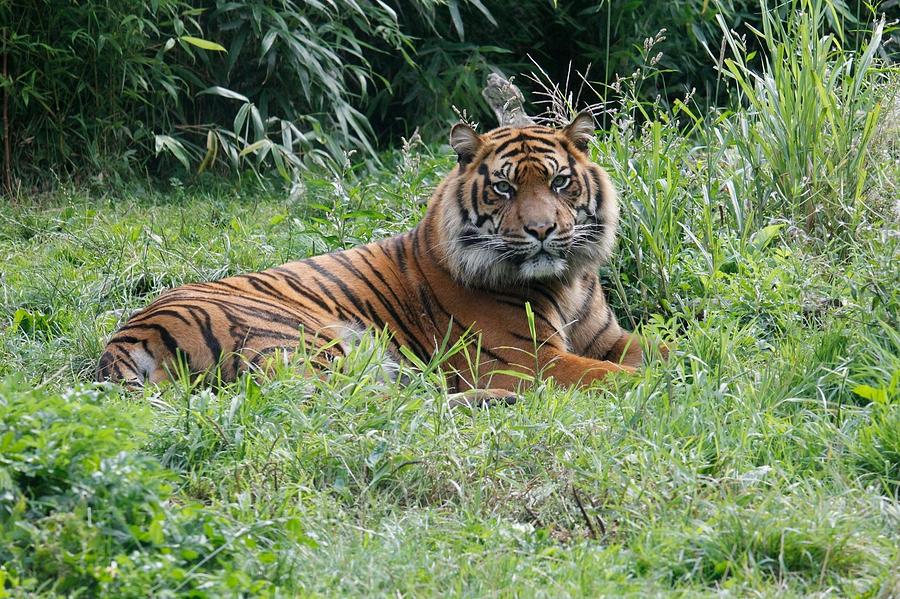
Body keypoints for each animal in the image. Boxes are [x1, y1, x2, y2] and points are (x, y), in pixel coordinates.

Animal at [96, 113, 660, 404]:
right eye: (503, 188)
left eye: (560, 182)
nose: (542, 231)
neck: (567, 281)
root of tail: (129, 334)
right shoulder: (528, 360)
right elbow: (611, 376)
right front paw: (669, 385)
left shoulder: (606, 338)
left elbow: (656, 350)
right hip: (307, 342)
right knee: (362, 409)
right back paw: (496, 401)